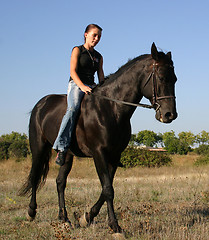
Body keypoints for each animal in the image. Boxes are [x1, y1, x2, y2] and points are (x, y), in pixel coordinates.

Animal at [19, 42, 177, 233]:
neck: (111, 108)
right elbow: (108, 189)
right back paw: (31, 212)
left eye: (175, 79)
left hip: (67, 155)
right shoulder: (99, 153)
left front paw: (86, 217)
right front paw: (115, 226)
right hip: (38, 148)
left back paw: (64, 218)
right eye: (161, 77)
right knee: (35, 176)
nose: (170, 115)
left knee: (60, 182)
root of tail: (41, 104)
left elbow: (106, 188)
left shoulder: (114, 155)